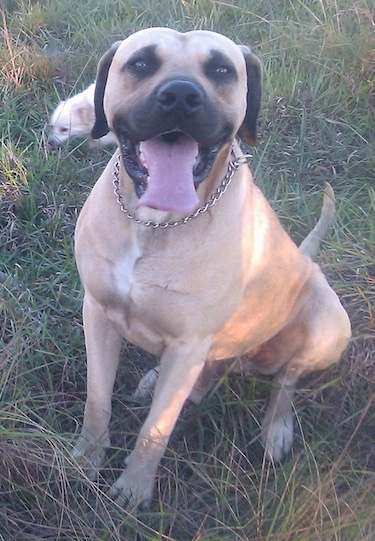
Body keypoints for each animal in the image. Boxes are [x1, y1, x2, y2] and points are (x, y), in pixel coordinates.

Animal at [71, 26, 352, 506]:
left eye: (221, 70)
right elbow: (97, 399)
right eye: (141, 63)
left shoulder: (188, 342)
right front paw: (87, 457)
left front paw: (134, 488)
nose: (181, 96)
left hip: (328, 322)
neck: (155, 224)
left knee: (286, 380)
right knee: (211, 371)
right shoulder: (99, 313)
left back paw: (276, 428)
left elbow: (155, 428)